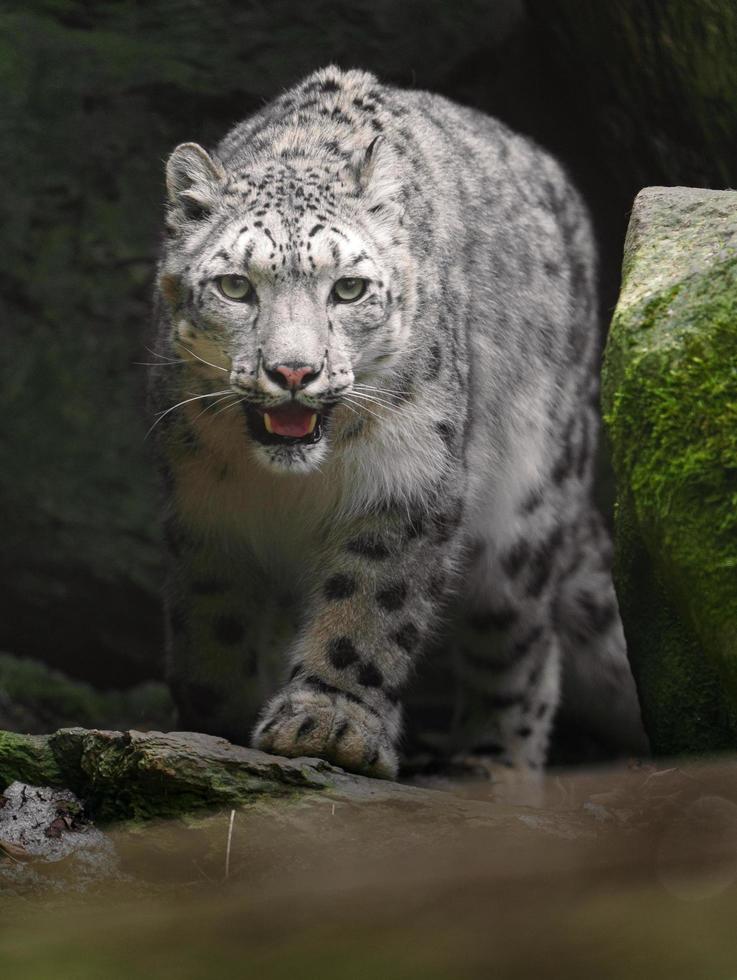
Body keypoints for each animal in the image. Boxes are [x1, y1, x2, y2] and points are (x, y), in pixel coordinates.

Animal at [150, 65, 644, 776]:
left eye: (349, 288)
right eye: (236, 286)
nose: (293, 371)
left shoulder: (407, 479)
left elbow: (368, 605)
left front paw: (328, 725)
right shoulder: (203, 503)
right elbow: (214, 620)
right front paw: (216, 720)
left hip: (529, 507)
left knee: (520, 644)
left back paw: (490, 765)